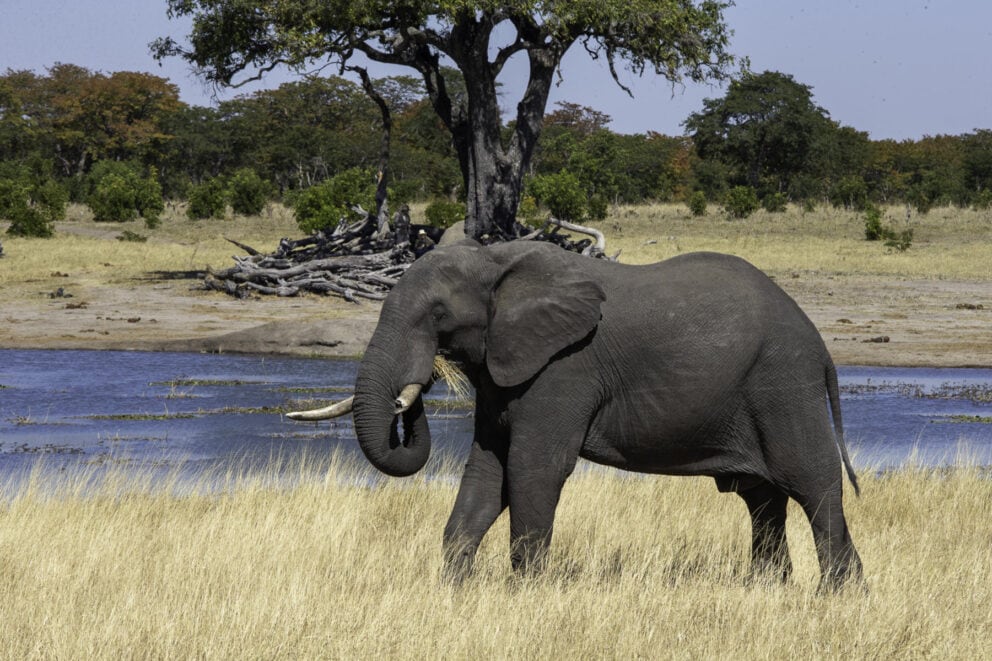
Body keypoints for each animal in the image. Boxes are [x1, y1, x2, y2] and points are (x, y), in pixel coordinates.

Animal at [288, 240, 863, 588]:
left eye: (438, 316)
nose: (419, 387)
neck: (497, 262)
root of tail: (820, 345)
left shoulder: (564, 367)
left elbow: (532, 470)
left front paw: (525, 593)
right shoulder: (505, 369)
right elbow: (487, 471)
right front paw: (455, 590)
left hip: (783, 384)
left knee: (813, 486)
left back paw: (837, 596)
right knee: (763, 501)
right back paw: (773, 590)